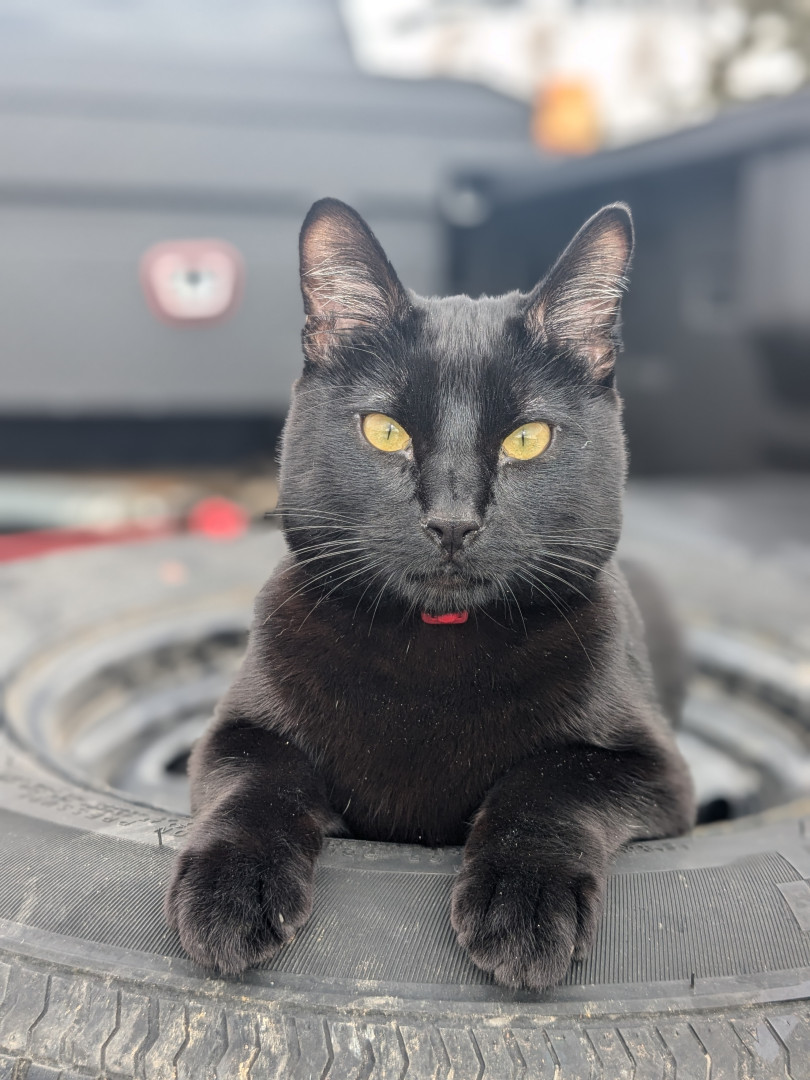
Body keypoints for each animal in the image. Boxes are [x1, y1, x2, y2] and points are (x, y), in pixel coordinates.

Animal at [165, 197, 695, 990]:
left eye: (528, 439)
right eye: (385, 431)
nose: (452, 520)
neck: (434, 646)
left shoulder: (654, 769)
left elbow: (552, 778)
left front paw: (522, 906)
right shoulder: (236, 732)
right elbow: (259, 780)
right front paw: (231, 891)